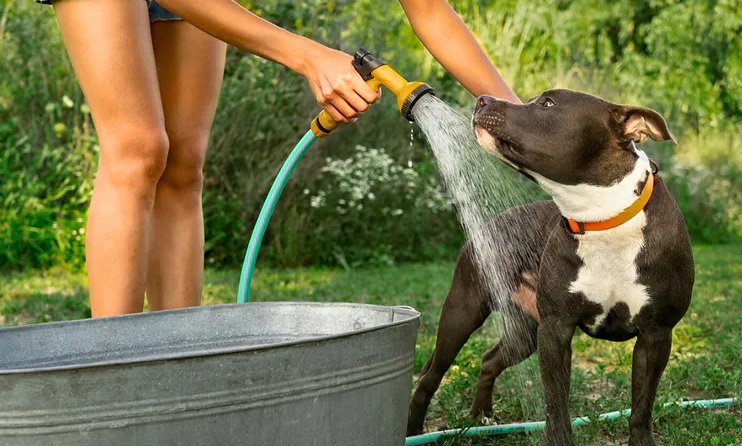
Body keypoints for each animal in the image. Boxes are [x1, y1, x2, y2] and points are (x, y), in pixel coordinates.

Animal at [406, 88, 696, 446]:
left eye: (548, 104)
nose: (483, 99)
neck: (604, 219)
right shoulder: (556, 330)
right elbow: (557, 407)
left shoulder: (655, 336)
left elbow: (641, 409)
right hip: (463, 312)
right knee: (431, 375)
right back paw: (414, 430)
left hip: (525, 331)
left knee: (489, 360)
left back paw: (482, 415)